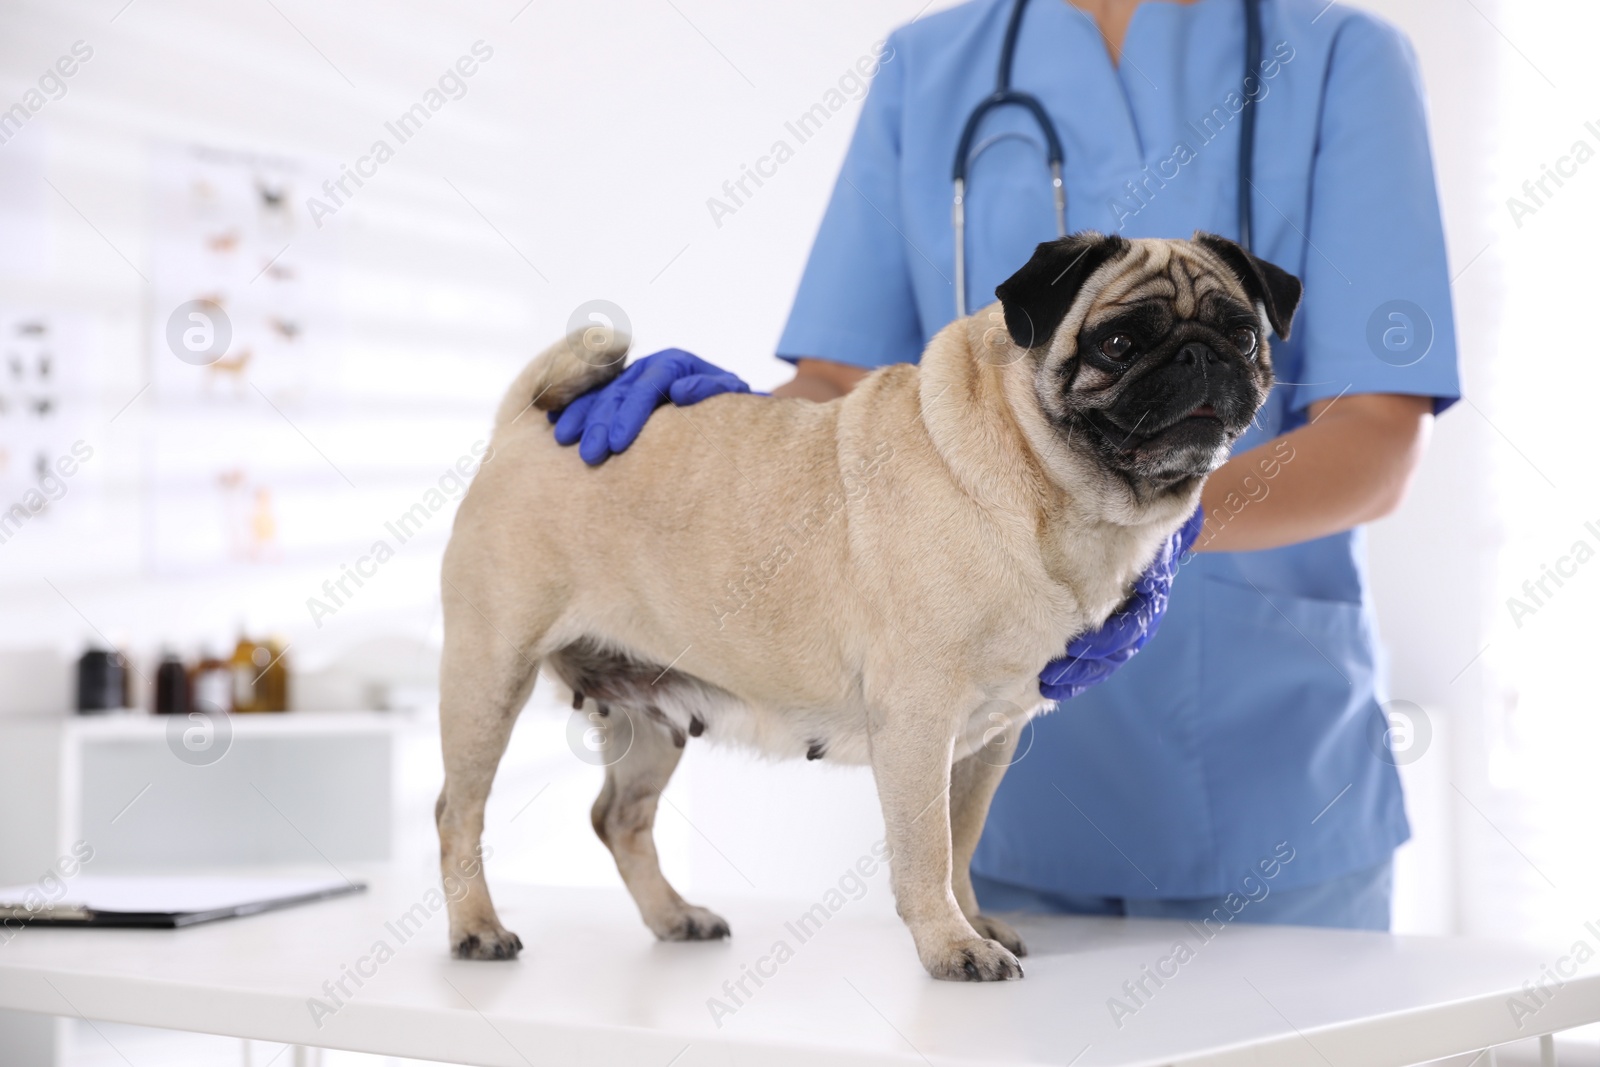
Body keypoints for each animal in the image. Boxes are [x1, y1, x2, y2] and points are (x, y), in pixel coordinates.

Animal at [438, 233, 1299, 985]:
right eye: (1119, 342)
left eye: (1242, 333)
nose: (1200, 353)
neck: (1051, 487)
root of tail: (529, 422)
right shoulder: (918, 722)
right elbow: (926, 848)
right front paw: (952, 946)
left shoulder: (987, 738)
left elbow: (961, 839)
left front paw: (971, 919)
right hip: (490, 674)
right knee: (458, 811)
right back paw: (477, 929)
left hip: (650, 709)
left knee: (620, 818)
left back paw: (673, 916)